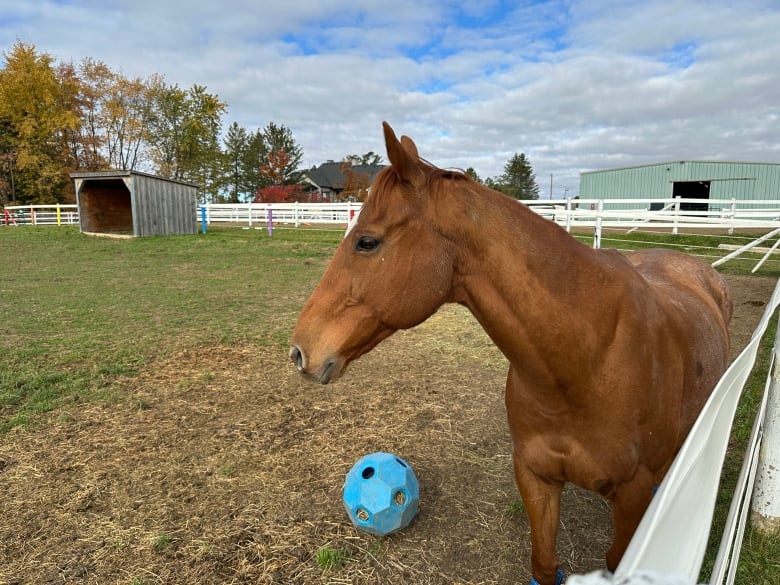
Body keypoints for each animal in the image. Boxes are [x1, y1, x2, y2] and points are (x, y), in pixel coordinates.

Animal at [288, 122, 732, 584]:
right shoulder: (535, 478)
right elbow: (544, 563)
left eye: (367, 242)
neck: (588, 363)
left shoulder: (631, 498)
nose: (300, 350)